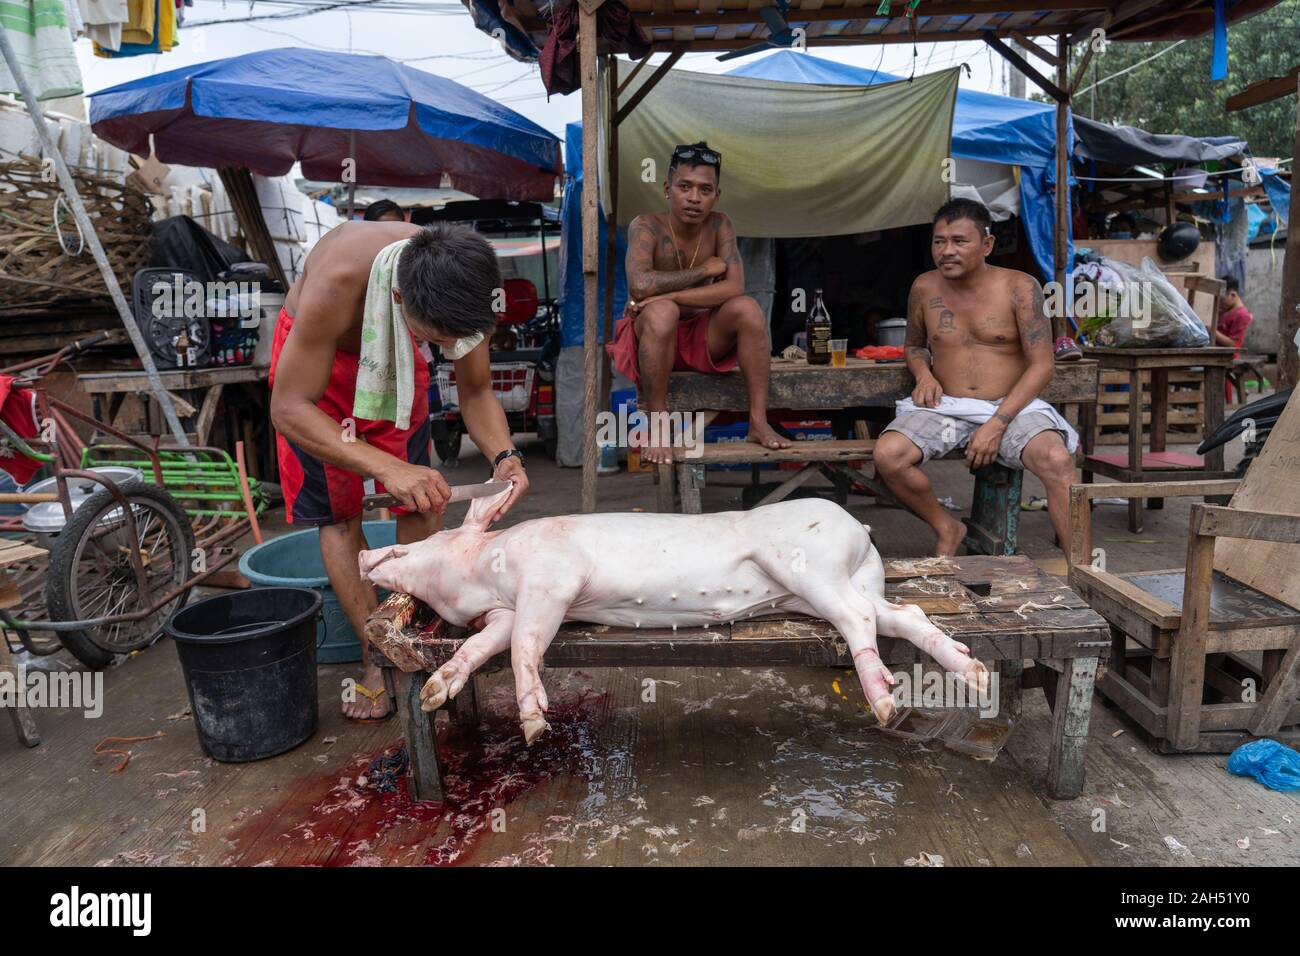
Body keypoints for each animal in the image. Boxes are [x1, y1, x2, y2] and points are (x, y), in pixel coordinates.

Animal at [356, 486, 982, 749]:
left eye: (419, 540)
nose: (366, 555)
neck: (488, 568)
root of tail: (860, 528)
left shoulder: (551, 581)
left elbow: (523, 648)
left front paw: (534, 729)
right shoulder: (505, 612)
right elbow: (480, 647)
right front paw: (433, 693)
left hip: (811, 566)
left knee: (858, 620)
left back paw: (885, 704)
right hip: (839, 585)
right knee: (902, 612)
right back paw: (972, 674)